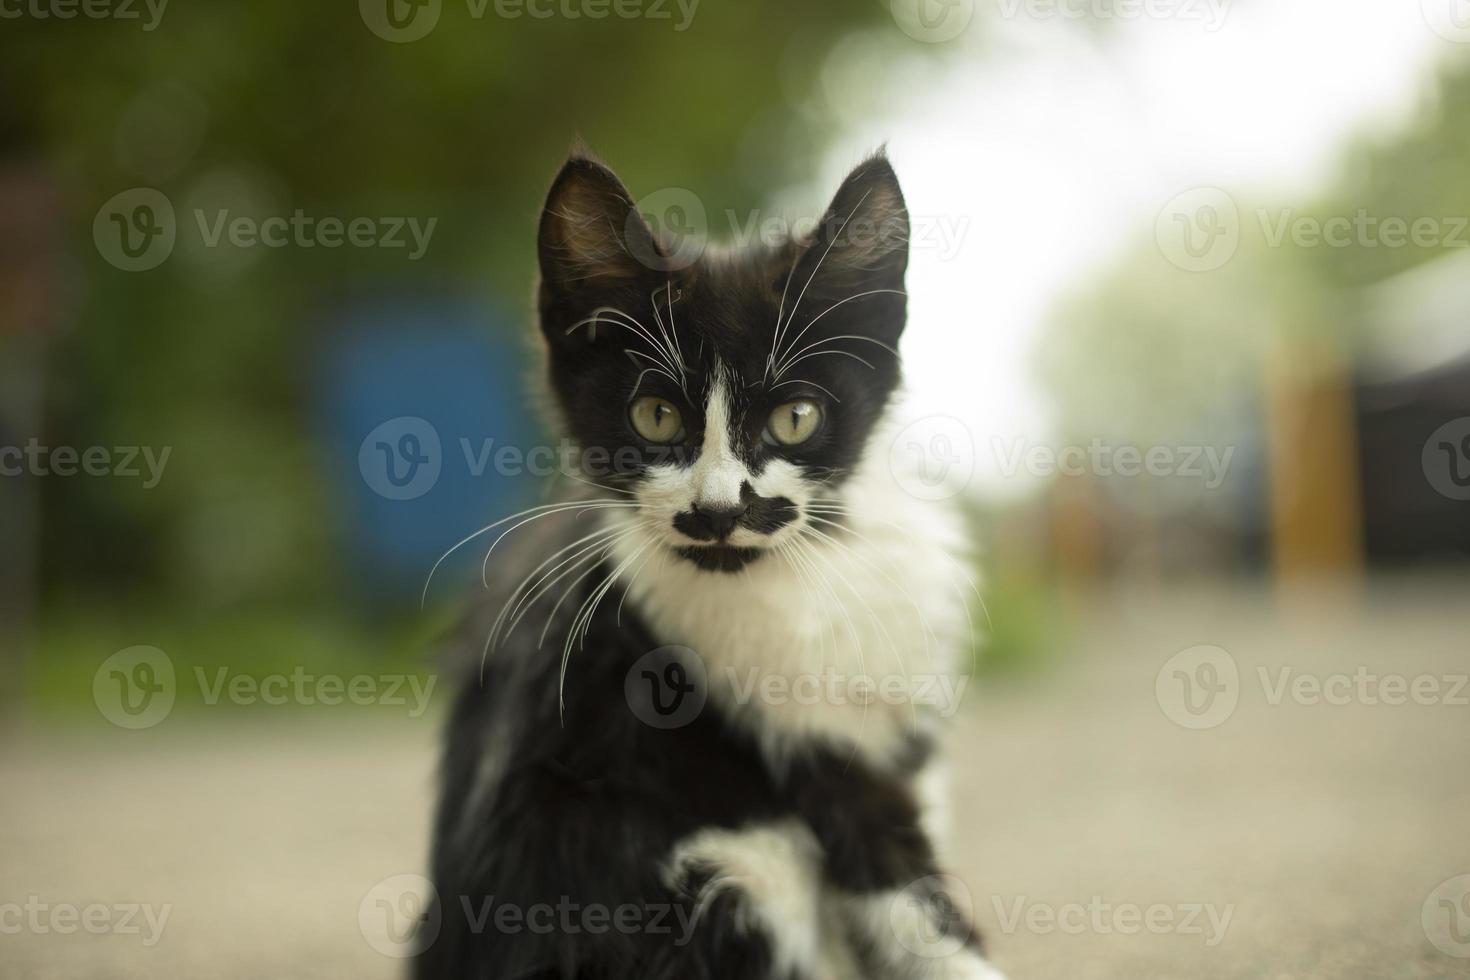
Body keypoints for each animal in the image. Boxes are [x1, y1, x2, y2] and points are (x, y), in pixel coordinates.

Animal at [417, 151, 1011, 980]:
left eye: (795, 418)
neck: (816, 565)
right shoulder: (819, 754)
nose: (720, 510)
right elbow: (904, 890)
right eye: (656, 416)